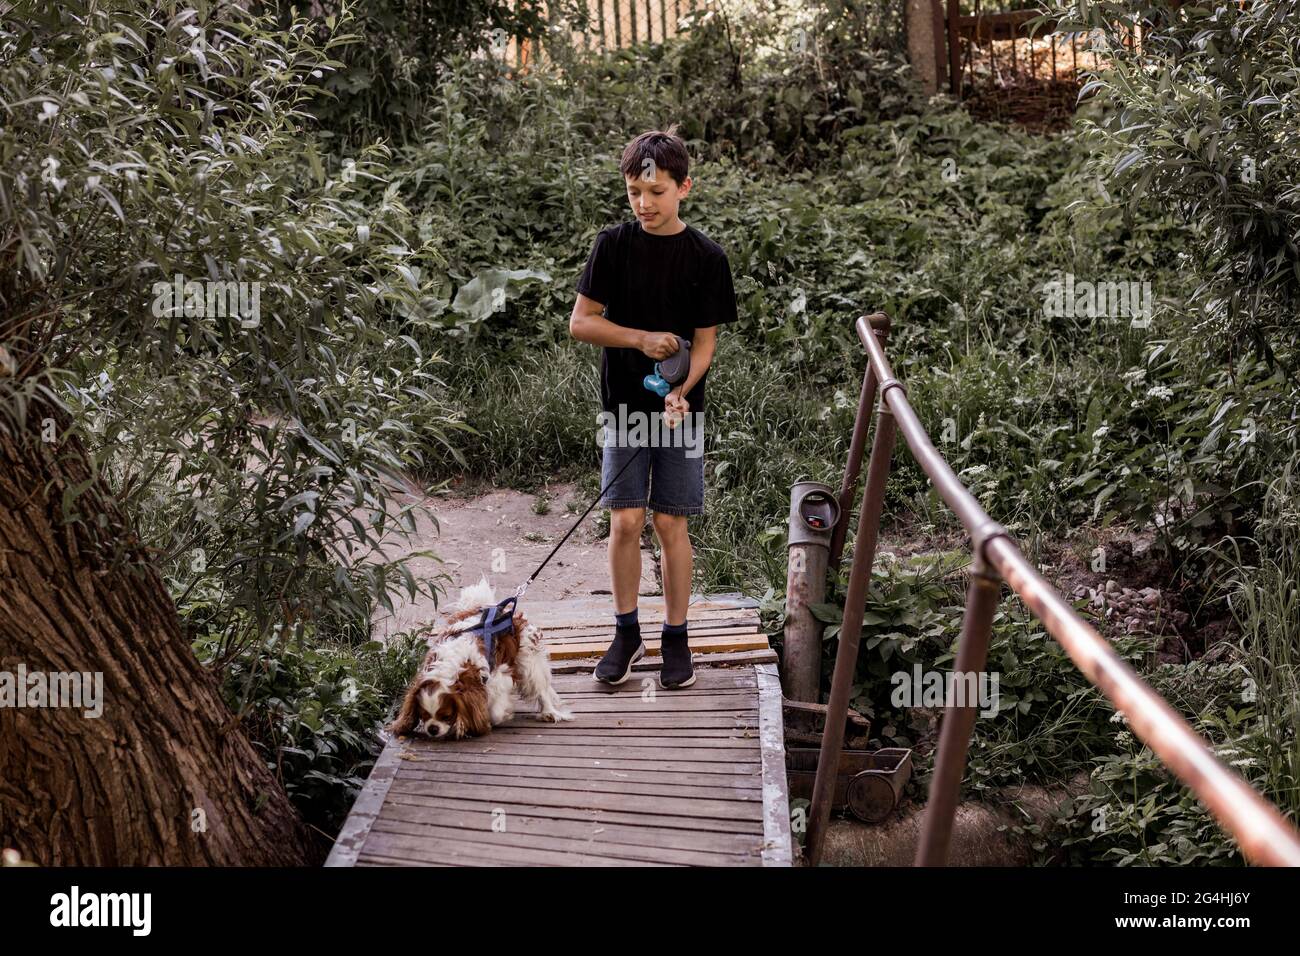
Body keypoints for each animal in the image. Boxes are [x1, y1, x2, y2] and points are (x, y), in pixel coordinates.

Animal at [387, 574, 577, 738]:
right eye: (424, 715)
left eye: (446, 716)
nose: (432, 729)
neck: (451, 669)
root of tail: (500, 608)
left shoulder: (498, 678)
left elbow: (495, 711)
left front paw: (499, 716)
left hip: (528, 662)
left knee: (541, 688)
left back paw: (549, 712)